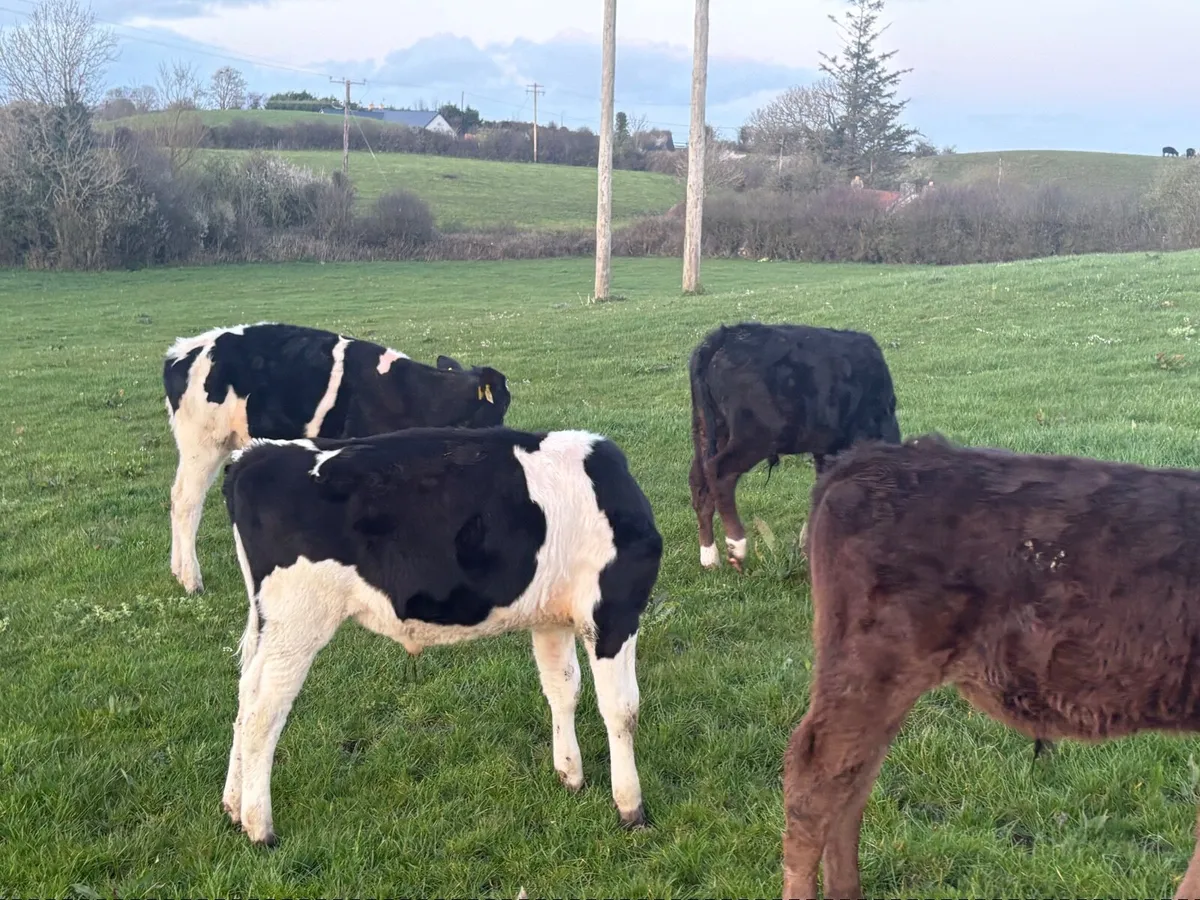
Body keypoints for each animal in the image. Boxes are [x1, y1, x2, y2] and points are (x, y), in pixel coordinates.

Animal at [162, 322, 511, 594]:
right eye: (500, 406)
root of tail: (181, 351)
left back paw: (178, 571)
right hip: (203, 443)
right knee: (186, 502)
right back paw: (191, 580)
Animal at [218, 426, 663, 847]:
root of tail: (255, 454)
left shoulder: (551, 617)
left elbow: (562, 690)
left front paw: (570, 774)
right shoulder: (613, 611)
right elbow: (622, 709)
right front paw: (631, 807)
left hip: (267, 624)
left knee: (243, 697)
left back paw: (233, 807)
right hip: (298, 621)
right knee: (262, 713)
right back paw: (260, 827)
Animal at [687, 321, 900, 572]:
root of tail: (723, 336)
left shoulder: (826, 450)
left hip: (707, 429)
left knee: (699, 480)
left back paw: (709, 557)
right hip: (755, 435)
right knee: (719, 473)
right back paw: (736, 545)